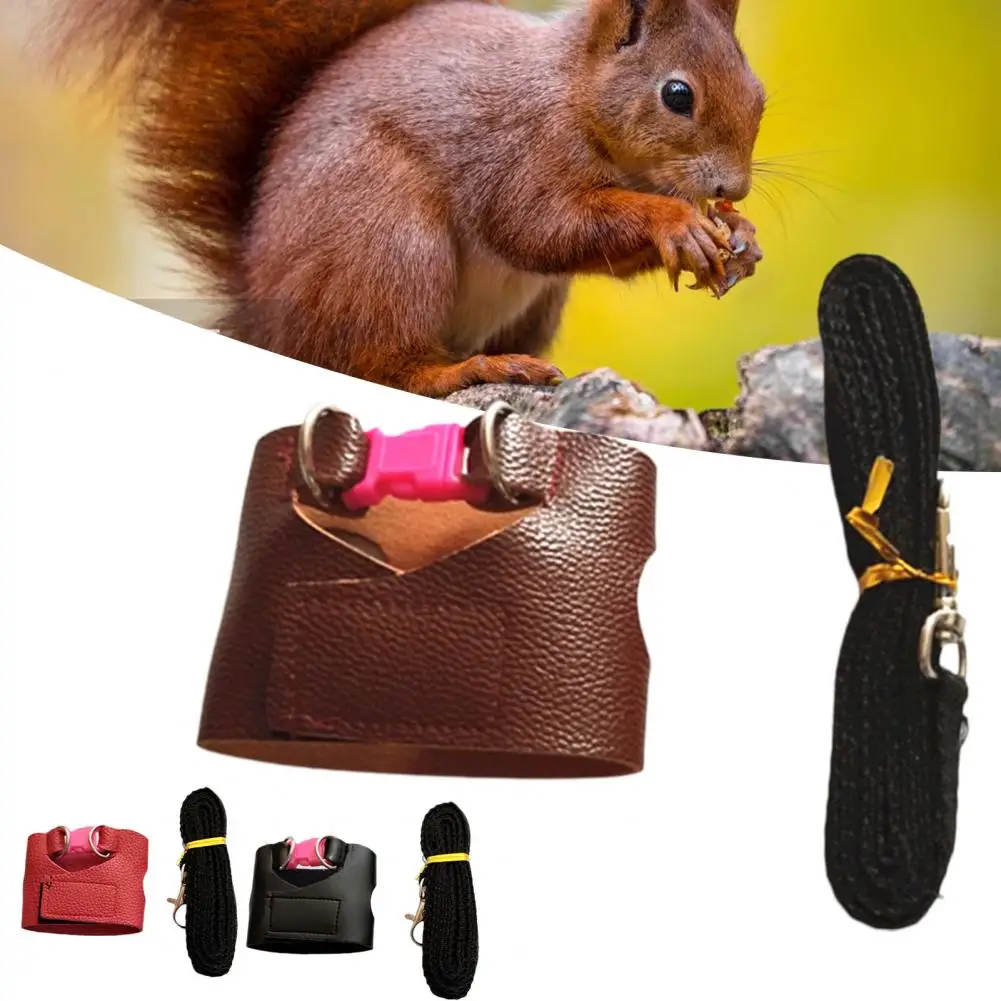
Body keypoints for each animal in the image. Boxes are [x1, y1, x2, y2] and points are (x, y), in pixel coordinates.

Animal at [48, 0, 766, 397]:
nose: (732, 189)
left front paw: (741, 237)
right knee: (379, 364)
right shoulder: (519, 149)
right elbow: (535, 227)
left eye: (758, 92)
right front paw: (677, 223)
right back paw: (465, 371)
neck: (572, 89)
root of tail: (261, 317)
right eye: (677, 95)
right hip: (385, 239)